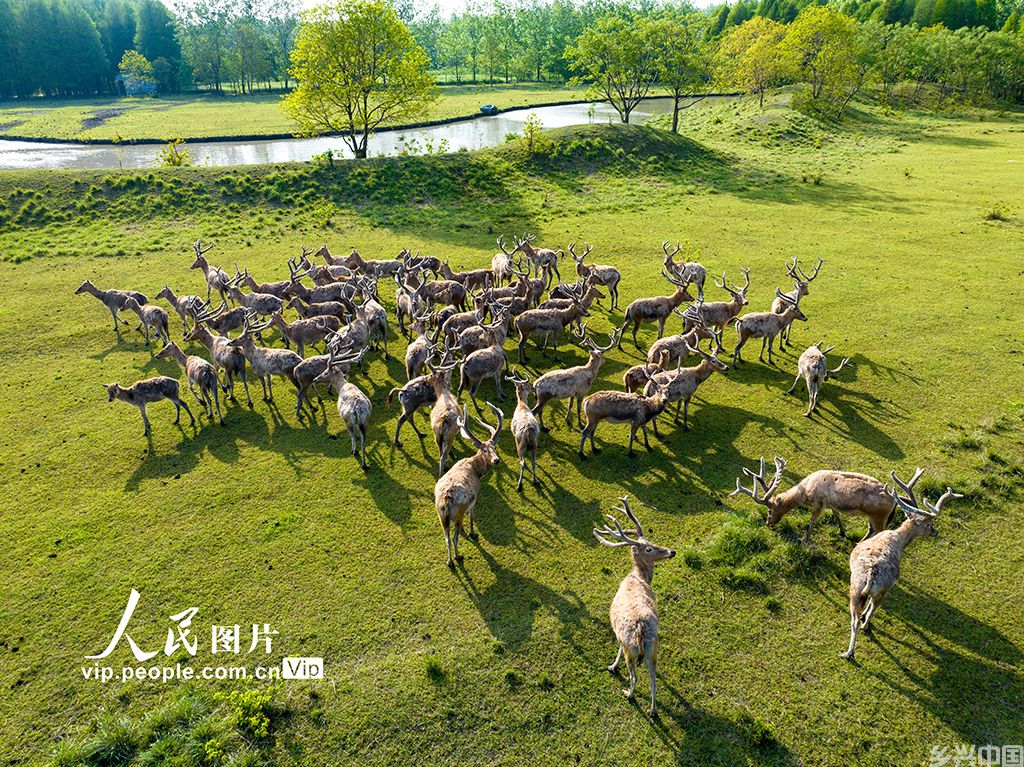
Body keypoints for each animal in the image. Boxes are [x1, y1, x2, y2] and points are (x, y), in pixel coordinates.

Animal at [434, 403, 503, 567]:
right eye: (484, 450)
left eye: (494, 448)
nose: (496, 460)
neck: (476, 471)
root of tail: (446, 500)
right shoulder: (474, 498)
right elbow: (472, 516)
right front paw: (472, 533)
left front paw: (467, 531)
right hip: (458, 511)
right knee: (454, 538)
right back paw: (458, 557)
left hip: (441, 516)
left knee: (447, 538)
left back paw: (449, 561)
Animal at [593, 496, 676, 717]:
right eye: (649, 548)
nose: (672, 551)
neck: (637, 578)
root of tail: (640, 632)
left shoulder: (619, 634)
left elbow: (618, 648)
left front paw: (612, 666)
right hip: (652, 648)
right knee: (653, 677)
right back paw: (652, 710)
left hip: (633, 649)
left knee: (635, 677)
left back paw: (628, 694)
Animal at [730, 458, 927, 544]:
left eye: (770, 510)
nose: (767, 522)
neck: (806, 491)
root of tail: (895, 501)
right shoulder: (831, 504)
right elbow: (837, 514)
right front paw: (842, 531)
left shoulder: (818, 503)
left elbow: (812, 521)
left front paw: (806, 539)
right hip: (874, 517)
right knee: (870, 529)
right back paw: (859, 542)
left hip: (879, 516)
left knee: (877, 531)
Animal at [840, 479, 961, 661]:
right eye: (928, 524)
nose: (935, 531)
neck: (898, 540)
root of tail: (871, 575)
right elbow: (870, 608)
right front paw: (865, 620)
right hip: (882, 588)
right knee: (872, 610)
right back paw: (864, 628)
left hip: (856, 588)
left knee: (854, 619)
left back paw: (848, 652)